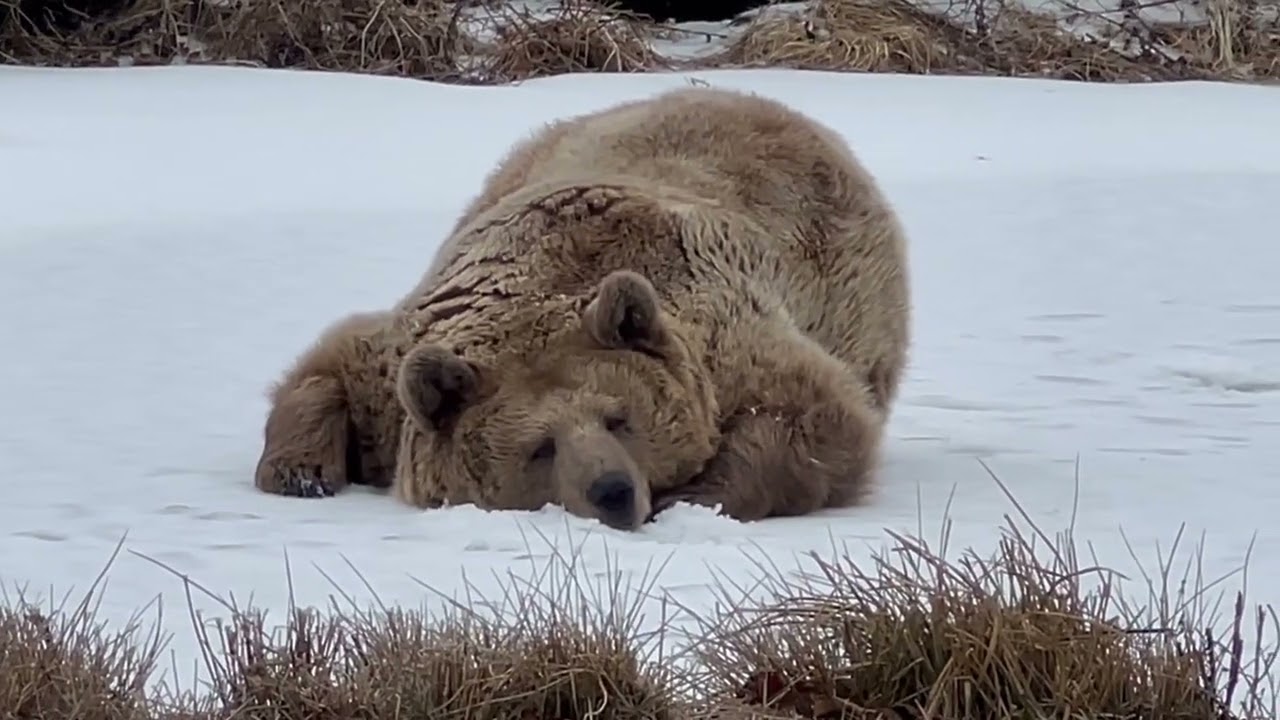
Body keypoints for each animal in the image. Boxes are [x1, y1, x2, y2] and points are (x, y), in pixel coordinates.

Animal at [253, 85, 911, 531]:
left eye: (620, 418)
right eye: (539, 446)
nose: (612, 491)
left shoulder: (719, 333)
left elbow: (813, 414)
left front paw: (689, 492)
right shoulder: (418, 338)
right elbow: (337, 362)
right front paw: (300, 472)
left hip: (855, 293)